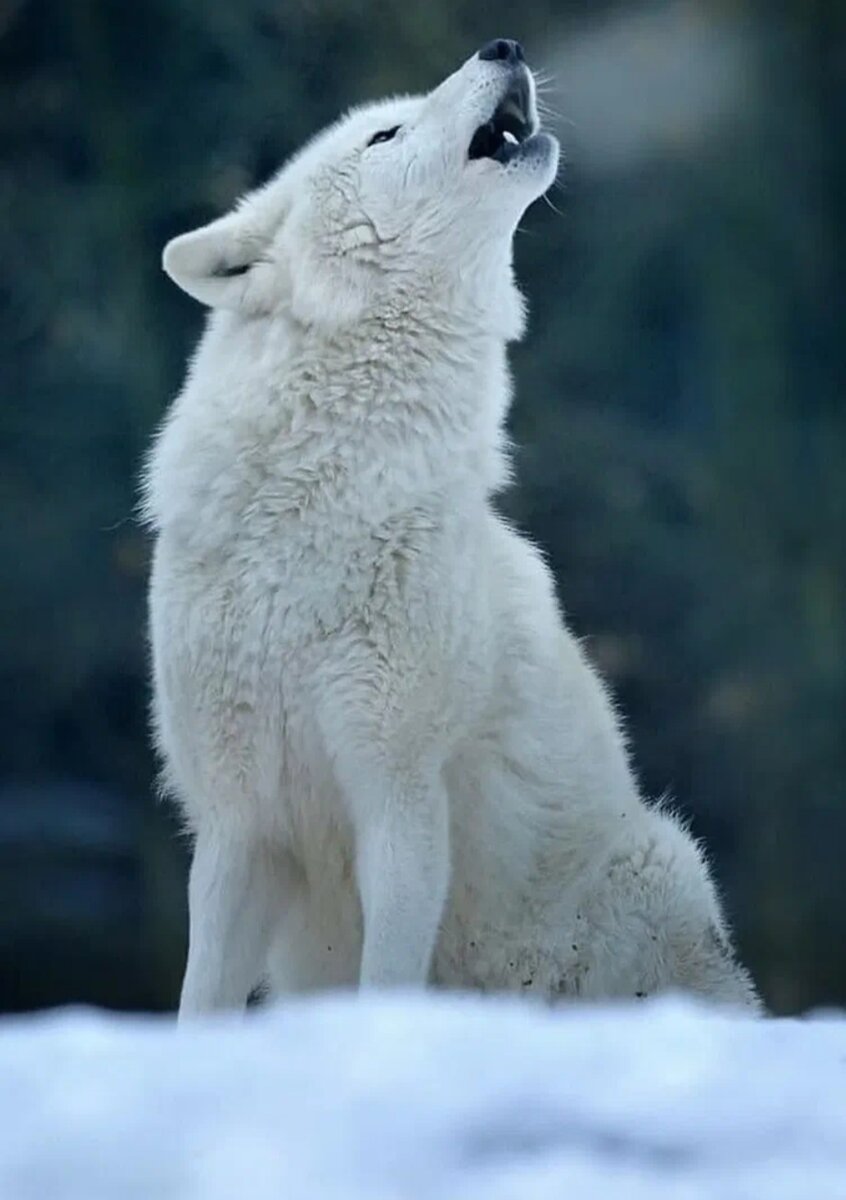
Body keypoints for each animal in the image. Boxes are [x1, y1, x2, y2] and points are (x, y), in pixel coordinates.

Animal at [145, 39, 758, 1012]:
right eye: (385, 134)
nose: (503, 46)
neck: (323, 503)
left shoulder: (400, 793)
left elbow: (388, 977)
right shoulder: (239, 825)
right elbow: (197, 1005)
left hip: (661, 864)